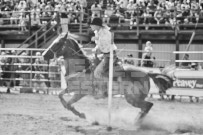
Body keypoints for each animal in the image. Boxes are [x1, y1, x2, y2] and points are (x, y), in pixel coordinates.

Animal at [42, 32, 173, 125]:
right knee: (146, 107)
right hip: (135, 98)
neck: (82, 68)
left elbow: (69, 103)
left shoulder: (81, 92)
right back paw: (136, 121)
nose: (43, 55)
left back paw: (136, 123)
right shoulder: (71, 88)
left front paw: (81, 115)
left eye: (57, 43)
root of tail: (146, 73)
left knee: (148, 105)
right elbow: (61, 96)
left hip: (132, 98)